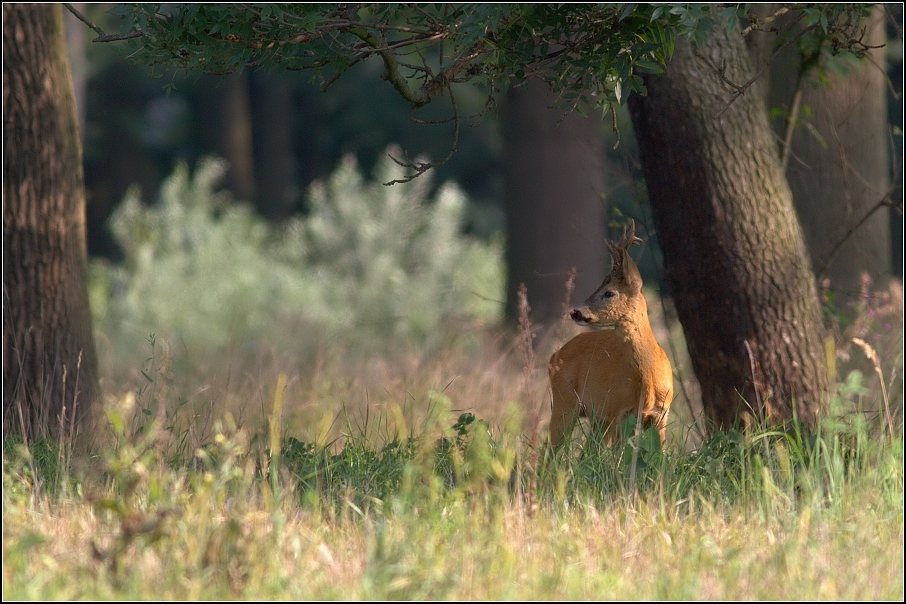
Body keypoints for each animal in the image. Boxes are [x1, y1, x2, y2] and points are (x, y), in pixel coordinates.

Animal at [544, 219, 672, 446]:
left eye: (609, 293)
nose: (576, 312)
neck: (649, 380)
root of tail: (554, 355)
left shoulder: (661, 416)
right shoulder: (619, 412)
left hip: (597, 418)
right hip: (565, 402)